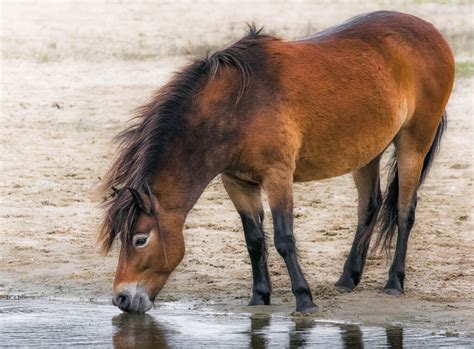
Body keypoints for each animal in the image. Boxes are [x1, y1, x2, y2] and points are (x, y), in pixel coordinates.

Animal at [99, 10, 456, 312]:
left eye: (140, 239)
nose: (121, 299)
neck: (234, 106)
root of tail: (430, 32)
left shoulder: (278, 176)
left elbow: (284, 238)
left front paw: (304, 299)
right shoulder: (237, 182)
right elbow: (255, 240)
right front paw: (260, 296)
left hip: (413, 143)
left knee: (404, 210)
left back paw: (394, 282)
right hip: (368, 150)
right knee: (369, 207)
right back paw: (347, 278)